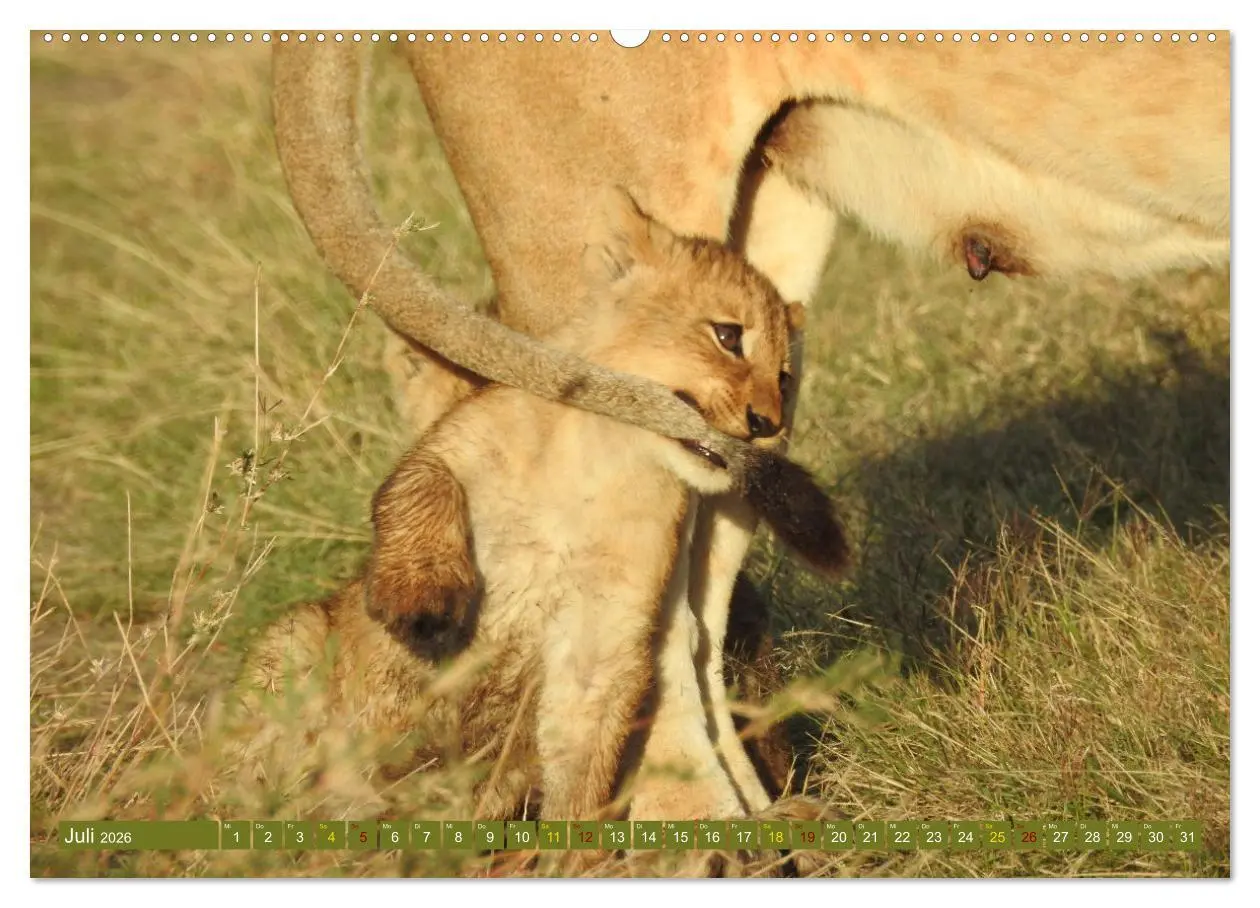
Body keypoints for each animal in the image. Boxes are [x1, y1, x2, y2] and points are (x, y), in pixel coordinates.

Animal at [239, 187, 847, 823]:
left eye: (786, 377)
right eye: (728, 336)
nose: (768, 425)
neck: (606, 453)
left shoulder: (604, 632)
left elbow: (587, 756)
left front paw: (575, 842)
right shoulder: (452, 446)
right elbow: (419, 490)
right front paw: (422, 601)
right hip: (293, 642)